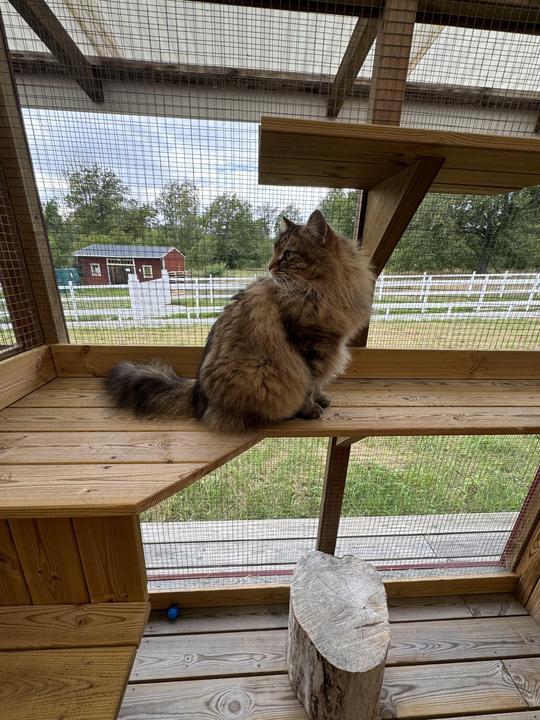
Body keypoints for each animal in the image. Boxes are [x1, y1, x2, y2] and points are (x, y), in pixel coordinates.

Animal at [105, 210, 374, 433]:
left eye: (287, 254)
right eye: (275, 251)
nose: (269, 267)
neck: (323, 292)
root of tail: (196, 393)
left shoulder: (326, 347)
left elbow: (317, 385)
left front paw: (322, 398)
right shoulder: (308, 350)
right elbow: (309, 385)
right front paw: (309, 409)